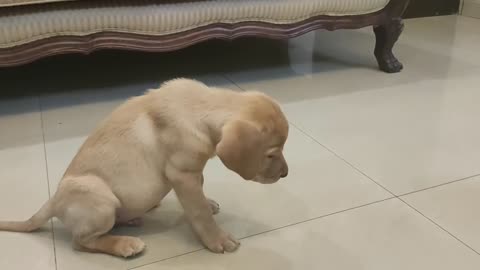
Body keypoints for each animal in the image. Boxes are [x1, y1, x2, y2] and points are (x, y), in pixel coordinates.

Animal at [0, 78, 288, 258]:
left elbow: (201, 194)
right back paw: (124, 244)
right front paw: (216, 238)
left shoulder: (193, 171)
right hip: (100, 199)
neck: (200, 106)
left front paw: (209, 203)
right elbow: (199, 213)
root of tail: (53, 202)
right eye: (271, 154)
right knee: (81, 241)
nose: (286, 174)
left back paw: (134, 217)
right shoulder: (182, 174)